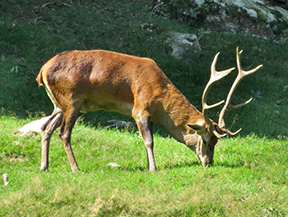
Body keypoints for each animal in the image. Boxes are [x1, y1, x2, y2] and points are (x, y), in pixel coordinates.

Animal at [35, 46, 260, 172]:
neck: (160, 102)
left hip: (59, 105)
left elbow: (147, 140)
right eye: (206, 140)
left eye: (216, 141)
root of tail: (42, 70)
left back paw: (44, 166)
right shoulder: (140, 109)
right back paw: (76, 169)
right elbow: (150, 141)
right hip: (72, 100)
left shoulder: (149, 115)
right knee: (64, 133)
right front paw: (153, 168)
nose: (209, 162)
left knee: (46, 128)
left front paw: (147, 164)